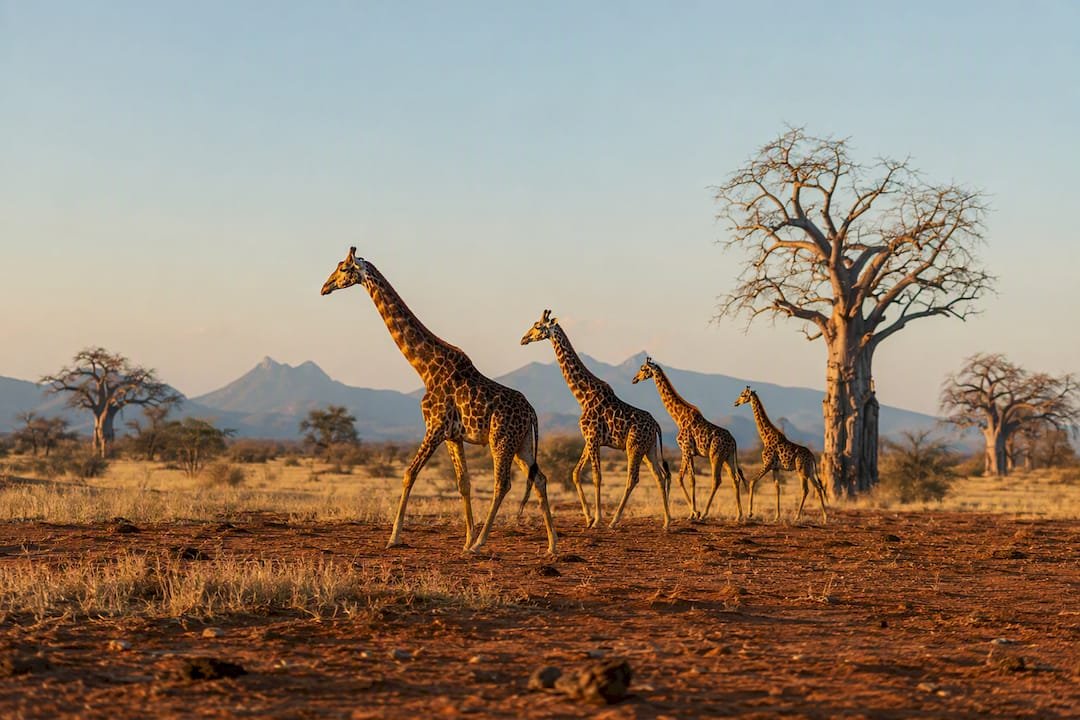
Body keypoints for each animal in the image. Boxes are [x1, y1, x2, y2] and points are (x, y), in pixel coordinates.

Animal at [320, 247, 557, 555]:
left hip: (501, 440)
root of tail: (532, 412)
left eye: (343, 268)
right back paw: (552, 545)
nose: (325, 287)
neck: (424, 368)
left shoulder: (434, 427)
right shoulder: (453, 435)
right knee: (539, 478)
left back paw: (481, 543)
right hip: (523, 443)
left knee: (502, 484)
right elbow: (463, 483)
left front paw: (394, 537)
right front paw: (465, 538)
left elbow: (409, 473)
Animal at [519, 310, 672, 530]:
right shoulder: (589, 439)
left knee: (633, 478)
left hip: (634, 447)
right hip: (648, 449)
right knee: (659, 476)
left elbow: (596, 476)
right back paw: (667, 521)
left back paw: (614, 520)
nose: (523, 339)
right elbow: (575, 473)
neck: (583, 395)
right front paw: (588, 517)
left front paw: (597, 519)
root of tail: (657, 425)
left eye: (538, 327)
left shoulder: (593, 437)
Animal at [632, 357, 747, 522]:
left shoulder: (685, 449)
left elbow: (684, 478)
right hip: (728, 457)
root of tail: (734, 442)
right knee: (735, 478)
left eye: (642, 368)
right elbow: (688, 478)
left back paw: (705, 514)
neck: (679, 418)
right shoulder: (689, 452)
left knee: (716, 480)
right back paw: (739, 515)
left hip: (715, 456)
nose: (634, 379)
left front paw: (695, 512)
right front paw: (692, 512)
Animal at [733, 386, 828, 523]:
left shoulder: (767, 464)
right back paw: (825, 517)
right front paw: (777, 517)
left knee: (805, 490)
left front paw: (750, 513)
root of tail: (813, 457)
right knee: (818, 488)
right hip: (809, 471)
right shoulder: (775, 468)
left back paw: (797, 517)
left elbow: (752, 481)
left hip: (801, 471)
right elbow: (777, 488)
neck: (765, 437)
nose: (735, 403)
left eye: (742, 395)